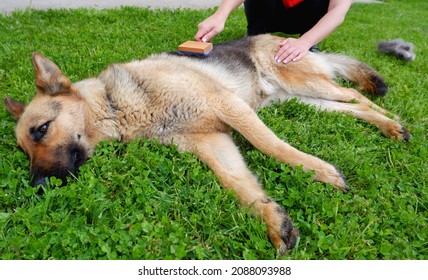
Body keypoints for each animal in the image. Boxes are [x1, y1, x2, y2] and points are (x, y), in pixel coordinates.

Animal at [4, 34, 412, 255]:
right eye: (24, 150)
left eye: (41, 129)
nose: (37, 187)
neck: (118, 104)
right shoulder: (211, 140)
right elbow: (237, 182)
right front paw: (273, 219)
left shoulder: (229, 107)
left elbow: (271, 147)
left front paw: (319, 172)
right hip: (303, 100)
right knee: (354, 107)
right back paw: (388, 126)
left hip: (306, 85)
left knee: (356, 96)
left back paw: (394, 122)